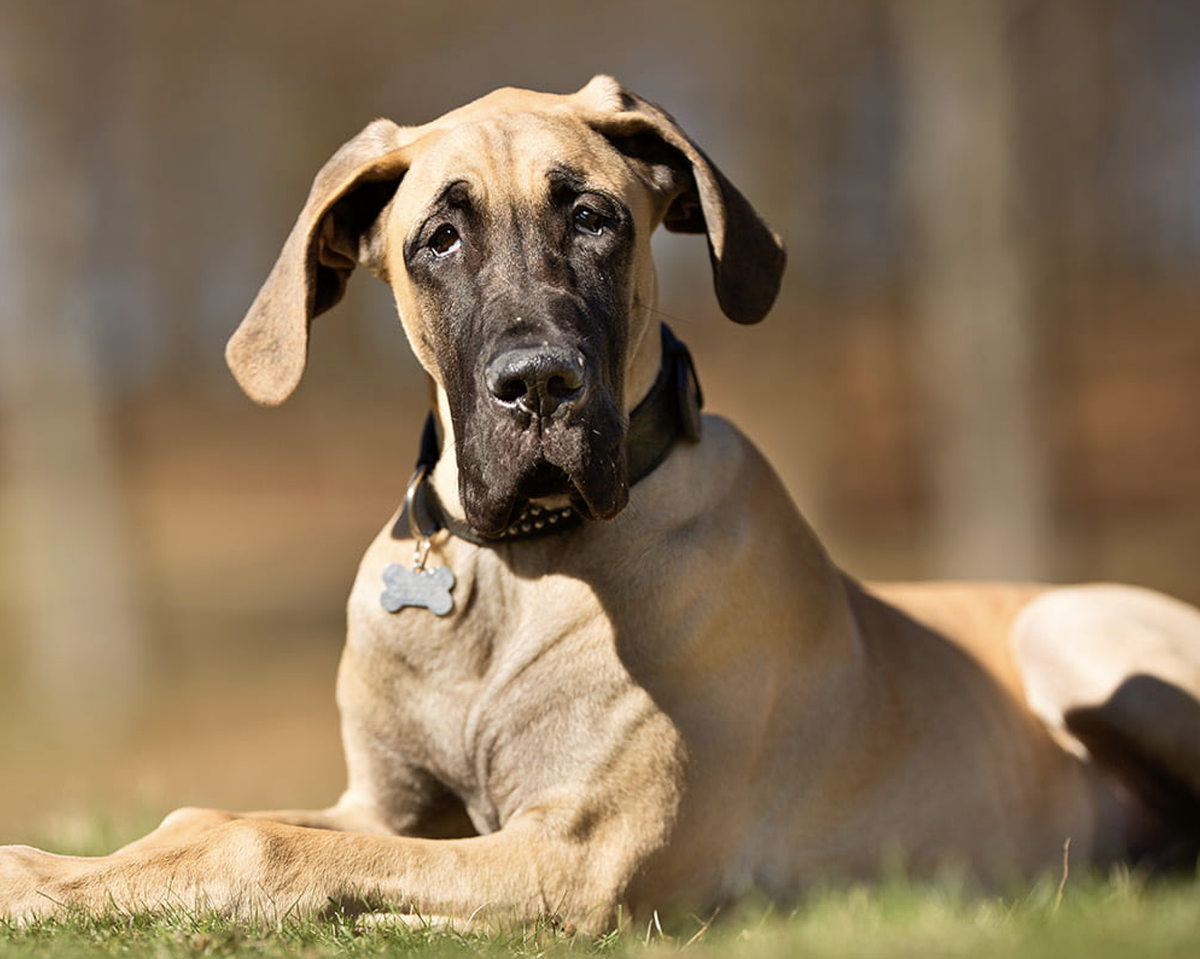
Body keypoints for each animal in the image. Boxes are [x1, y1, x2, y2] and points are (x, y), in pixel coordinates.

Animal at [2, 78, 1200, 936]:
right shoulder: (384, 807)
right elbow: (211, 814)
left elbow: (259, 843)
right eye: (438, 238)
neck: (509, 565)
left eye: (592, 217)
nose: (539, 383)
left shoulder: (572, 856)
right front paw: (52, 866)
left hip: (1075, 628)